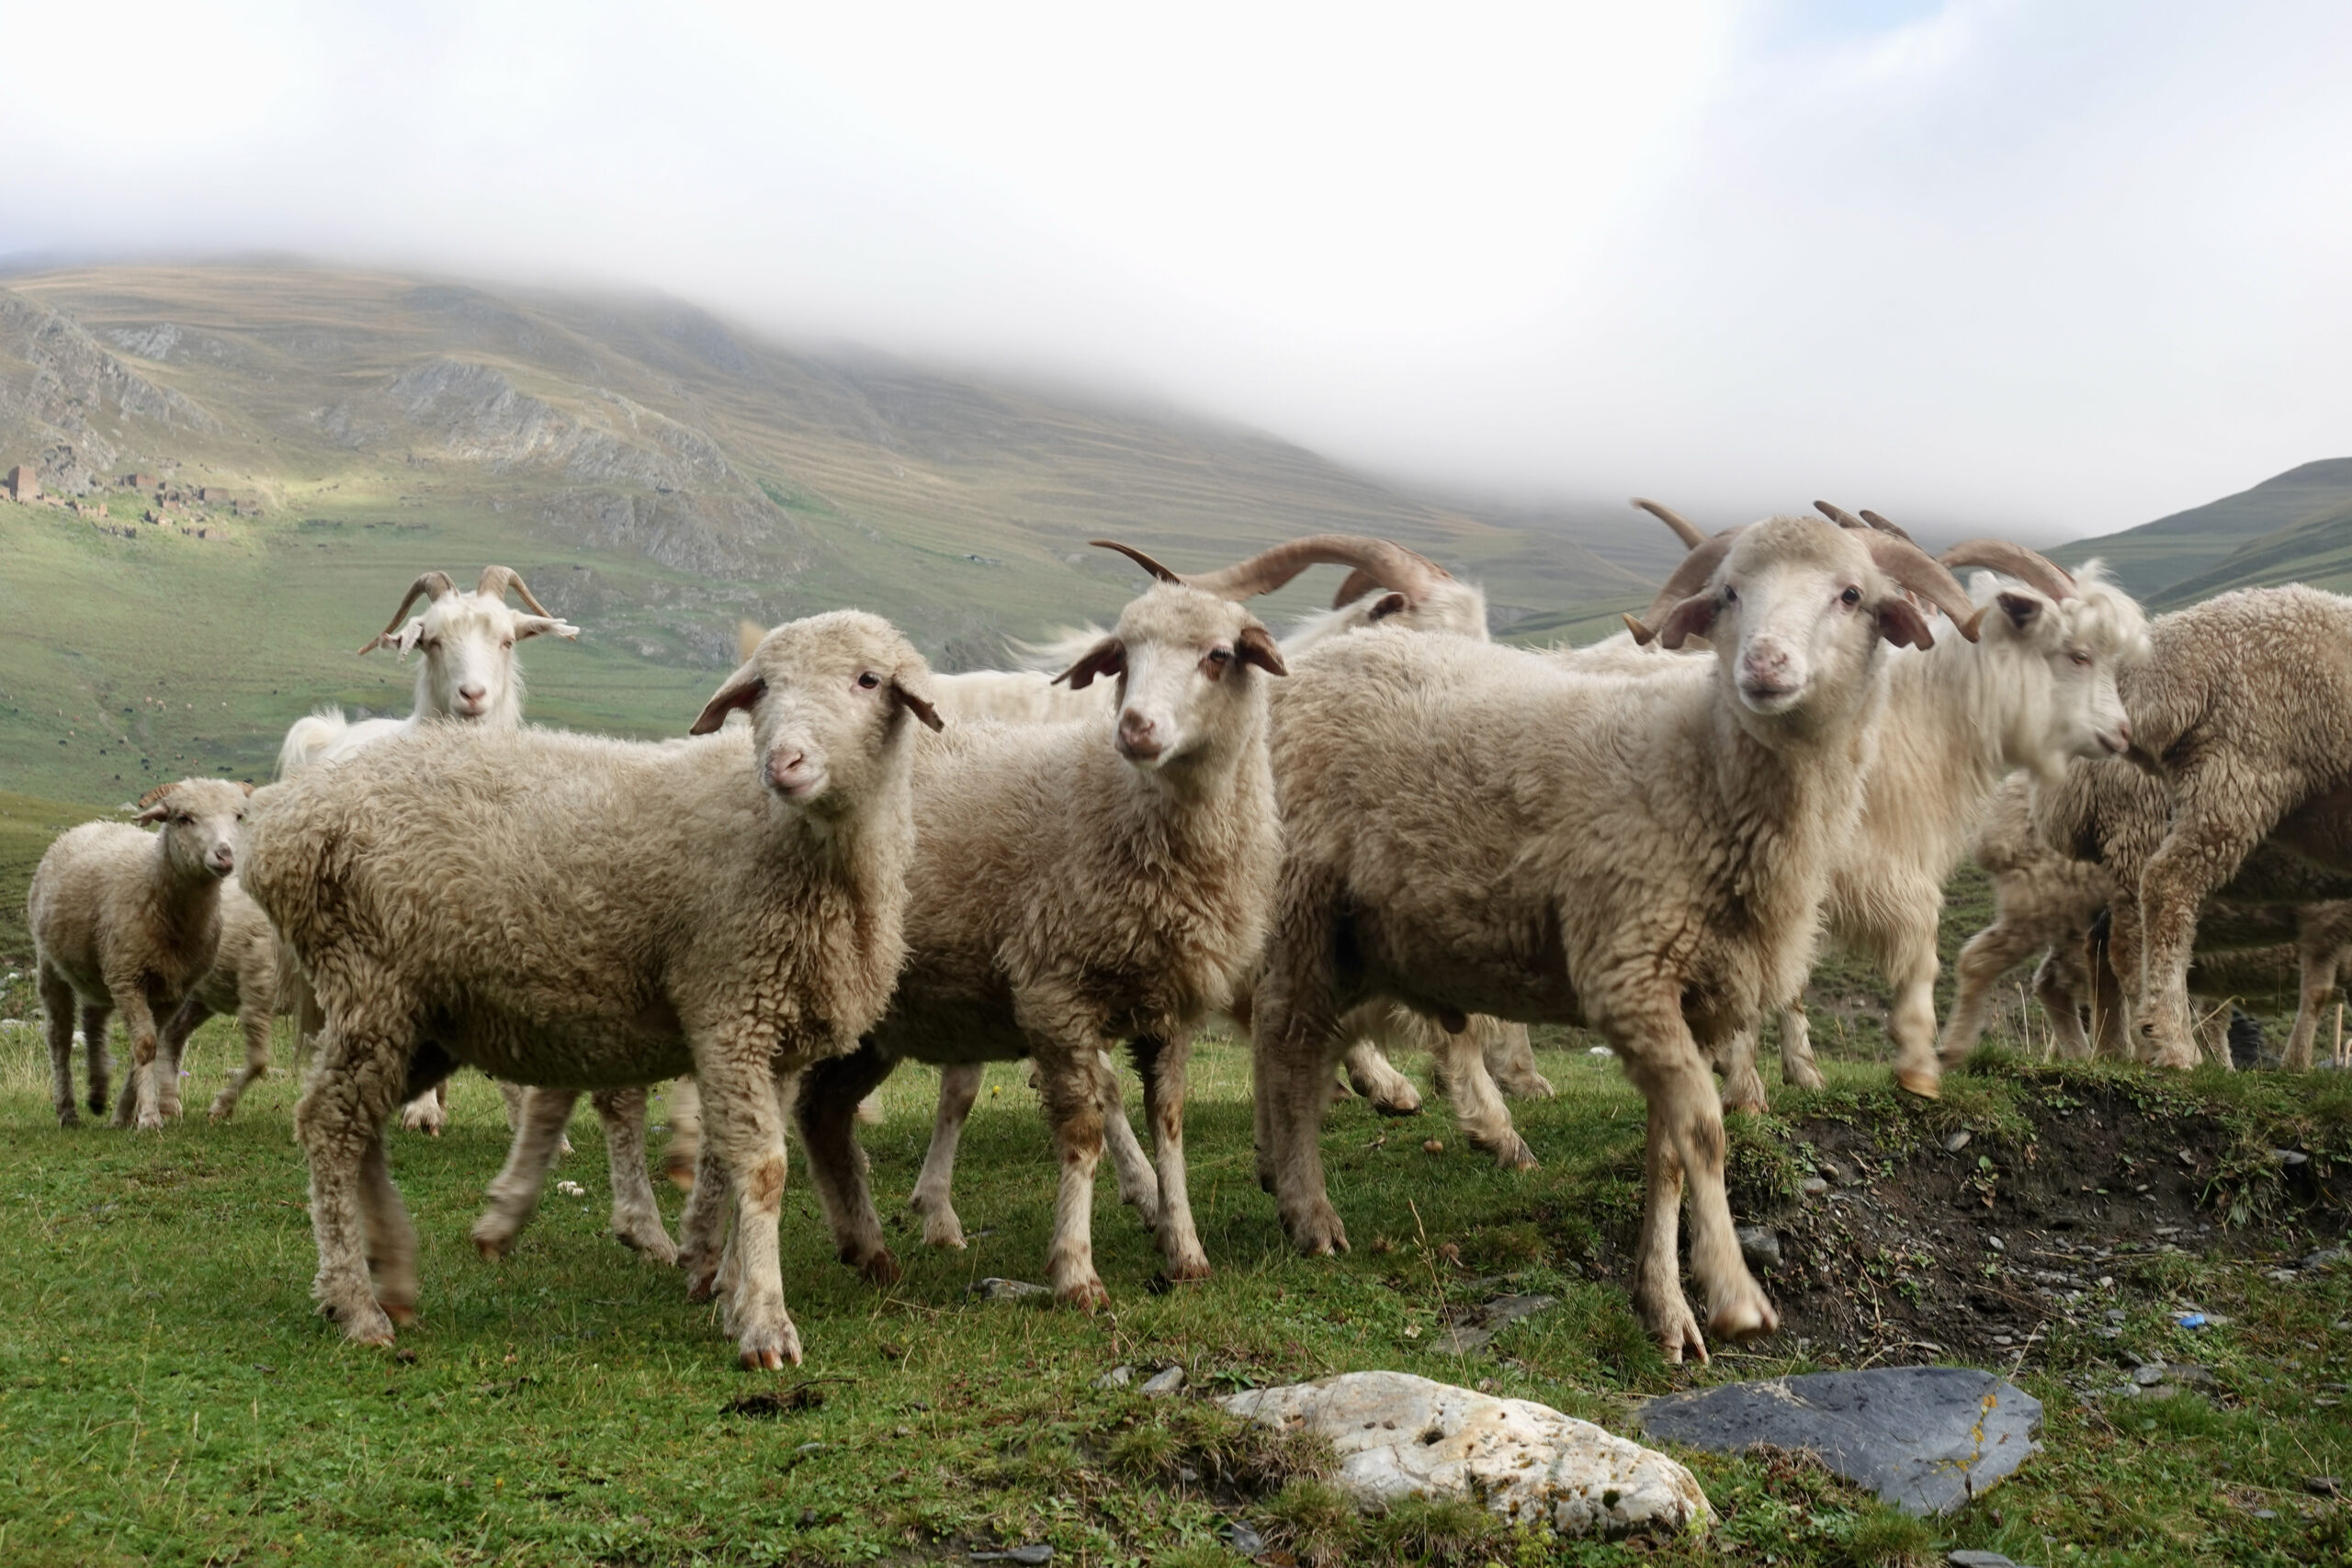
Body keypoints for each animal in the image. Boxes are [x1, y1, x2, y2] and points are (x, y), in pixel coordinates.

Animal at [28, 780, 253, 1128]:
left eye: (239, 816)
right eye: (183, 817)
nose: (225, 855)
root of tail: (89, 825)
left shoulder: (173, 990)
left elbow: (152, 1044)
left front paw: (124, 1115)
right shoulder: (129, 978)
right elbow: (145, 1046)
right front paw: (147, 1117)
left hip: (100, 968)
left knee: (93, 1021)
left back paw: (98, 1093)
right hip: (53, 964)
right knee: (59, 1037)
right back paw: (68, 1111)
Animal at [238, 606, 935, 1363]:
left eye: (868, 680)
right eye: (764, 688)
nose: (784, 763)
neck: (801, 839)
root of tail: (283, 820)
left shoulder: (774, 1036)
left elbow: (729, 1160)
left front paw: (728, 1288)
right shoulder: (731, 1007)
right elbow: (762, 1168)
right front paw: (764, 1323)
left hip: (421, 1015)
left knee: (361, 1126)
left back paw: (390, 1270)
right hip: (371, 983)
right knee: (330, 1125)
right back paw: (354, 1302)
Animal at [799, 557, 1298, 1306]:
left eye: (1218, 655)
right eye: (1123, 659)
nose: (1136, 726)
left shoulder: (1172, 1004)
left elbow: (1169, 1121)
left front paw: (1184, 1251)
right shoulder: (1054, 991)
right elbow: (1083, 1132)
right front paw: (1075, 1271)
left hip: (868, 1018)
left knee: (820, 1110)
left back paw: (868, 1251)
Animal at [1250, 514, 1984, 1363]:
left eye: (1852, 594)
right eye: (1729, 593)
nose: (1764, 663)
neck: (1701, 764)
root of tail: (1302, 664)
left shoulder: (1700, 1001)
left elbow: (1668, 1154)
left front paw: (1663, 1304)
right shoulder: (1629, 971)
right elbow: (1704, 1131)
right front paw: (1733, 1295)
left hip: (1361, 936)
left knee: (1298, 1042)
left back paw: (1287, 1169)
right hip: (1302, 903)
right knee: (1290, 1043)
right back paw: (1309, 1210)